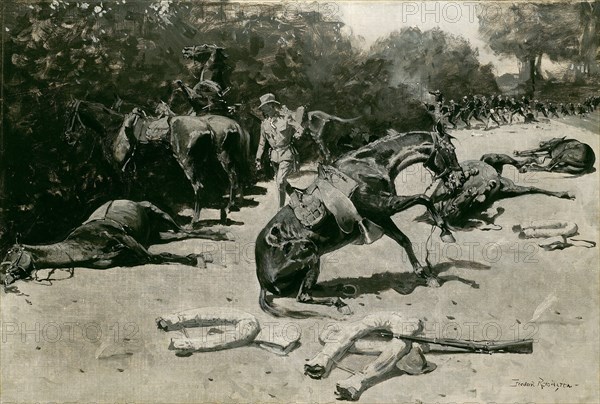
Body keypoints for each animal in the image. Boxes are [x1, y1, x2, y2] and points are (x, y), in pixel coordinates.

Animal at [0, 200, 230, 288]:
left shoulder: (125, 238)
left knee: (185, 230)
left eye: (11, 252)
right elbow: (146, 257)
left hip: (158, 213)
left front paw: (197, 258)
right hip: (157, 235)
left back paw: (220, 235)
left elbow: (155, 257)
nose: (3, 275)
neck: (82, 244)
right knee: (179, 235)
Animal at [65, 99, 251, 223]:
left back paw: (196, 220)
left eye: (69, 114)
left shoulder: (121, 170)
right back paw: (229, 207)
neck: (115, 128)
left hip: (193, 161)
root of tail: (207, 127)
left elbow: (125, 192)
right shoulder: (132, 171)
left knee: (204, 185)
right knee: (231, 178)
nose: (67, 135)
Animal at [255, 125, 466, 316]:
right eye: (450, 149)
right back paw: (340, 303)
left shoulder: (381, 216)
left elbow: (404, 239)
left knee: (305, 289)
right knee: (303, 296)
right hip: (312, 253)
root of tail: (262, 280)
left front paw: (425, 275)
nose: (460, 179)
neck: (369, 166)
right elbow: (424, 198)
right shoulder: (385, 206)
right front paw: (446, 232)